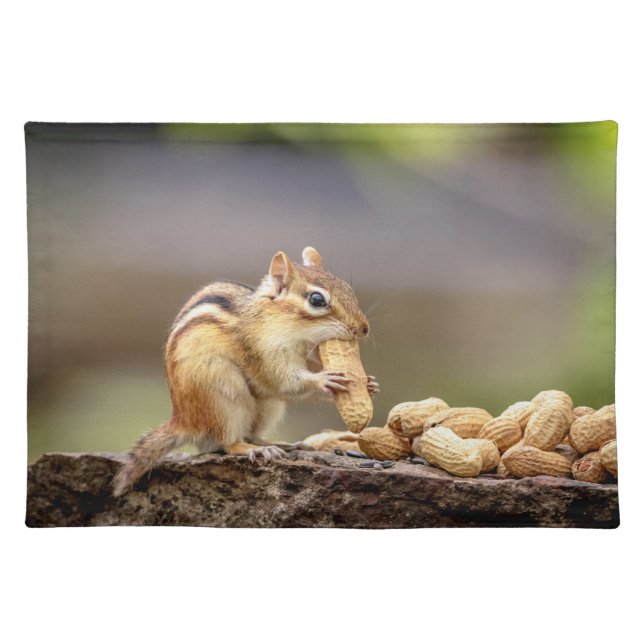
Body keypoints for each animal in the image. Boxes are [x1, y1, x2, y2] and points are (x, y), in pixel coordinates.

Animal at [112, 246, 379, 496]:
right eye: (316, 300)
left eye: (348, 289)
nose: (364, 328)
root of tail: (183, 420)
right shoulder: (264, 352)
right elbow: (285, 382)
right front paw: (324, 380)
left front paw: (369, 384)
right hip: (223, 395)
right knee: (229, 443)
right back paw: (257, 449)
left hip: (268, 406)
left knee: (253, 433)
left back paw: (281, 444)